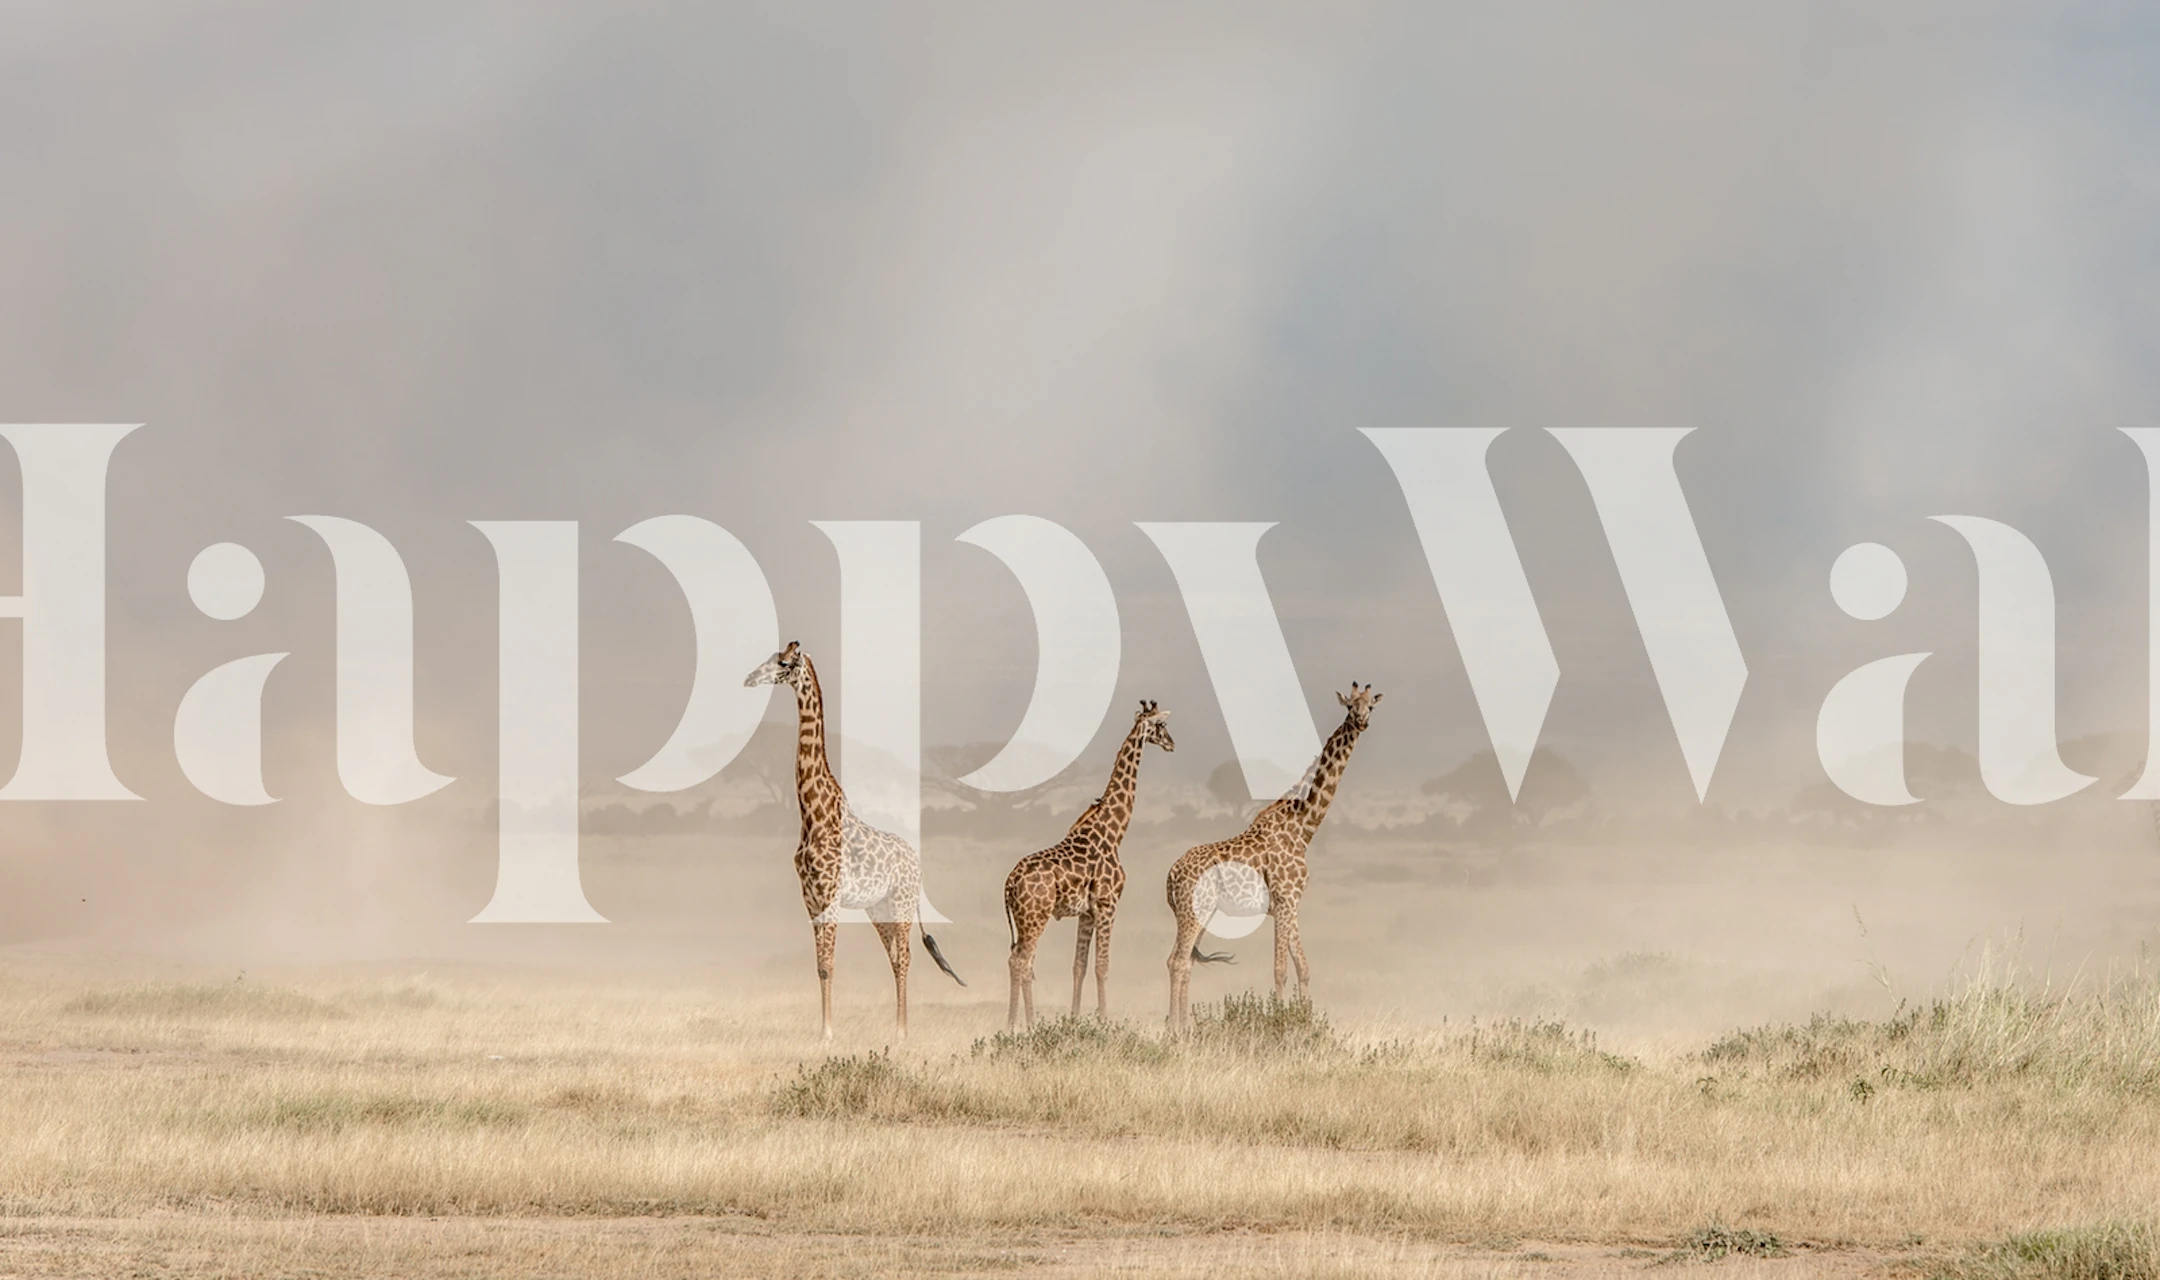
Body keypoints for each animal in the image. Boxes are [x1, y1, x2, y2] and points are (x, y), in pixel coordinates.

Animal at [744, 641, 964, 1040]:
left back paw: (901, 1033)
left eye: (782, 663)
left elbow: (829, 964)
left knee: (905, 956)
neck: (813, 814)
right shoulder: (810, 899)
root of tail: (918, 864)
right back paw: (896, 1029)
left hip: (901, 902)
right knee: (893, 957)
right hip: (877, 908)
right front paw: (824, 1032)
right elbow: (820, 965)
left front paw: (827, 1035)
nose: (749, 678)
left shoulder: (829, 896)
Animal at [1001, 701, 1176, 1028]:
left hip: (1023, 919)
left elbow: (1079, 966)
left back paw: (1022, 1023)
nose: (1172, 744)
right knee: (1021, 961)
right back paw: (1021, 1026)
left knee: (1021, 961)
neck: (1113, 831)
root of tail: (1009, 884)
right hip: (1035, 916)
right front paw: (1104, 1021)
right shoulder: (1108, 904)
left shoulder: (1086, 912)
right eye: (1160, 726)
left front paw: (1074, 1019)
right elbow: (1102, 965)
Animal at [1164, 681, 1382, 1032]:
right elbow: (1280, 969)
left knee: (1185, 964)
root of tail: (1170, 876)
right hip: (1192, 912)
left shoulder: (1289, 903)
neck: (1303, 827)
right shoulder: (1285, 899)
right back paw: (1176, 1030)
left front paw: (1305, 1020)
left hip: (1200, 913)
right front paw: (1280, 1022)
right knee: (1177, 961)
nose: (1361, 722)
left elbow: (1303, 967)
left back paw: (1186, 1027)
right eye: (1350, 706)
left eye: (1370, 706)